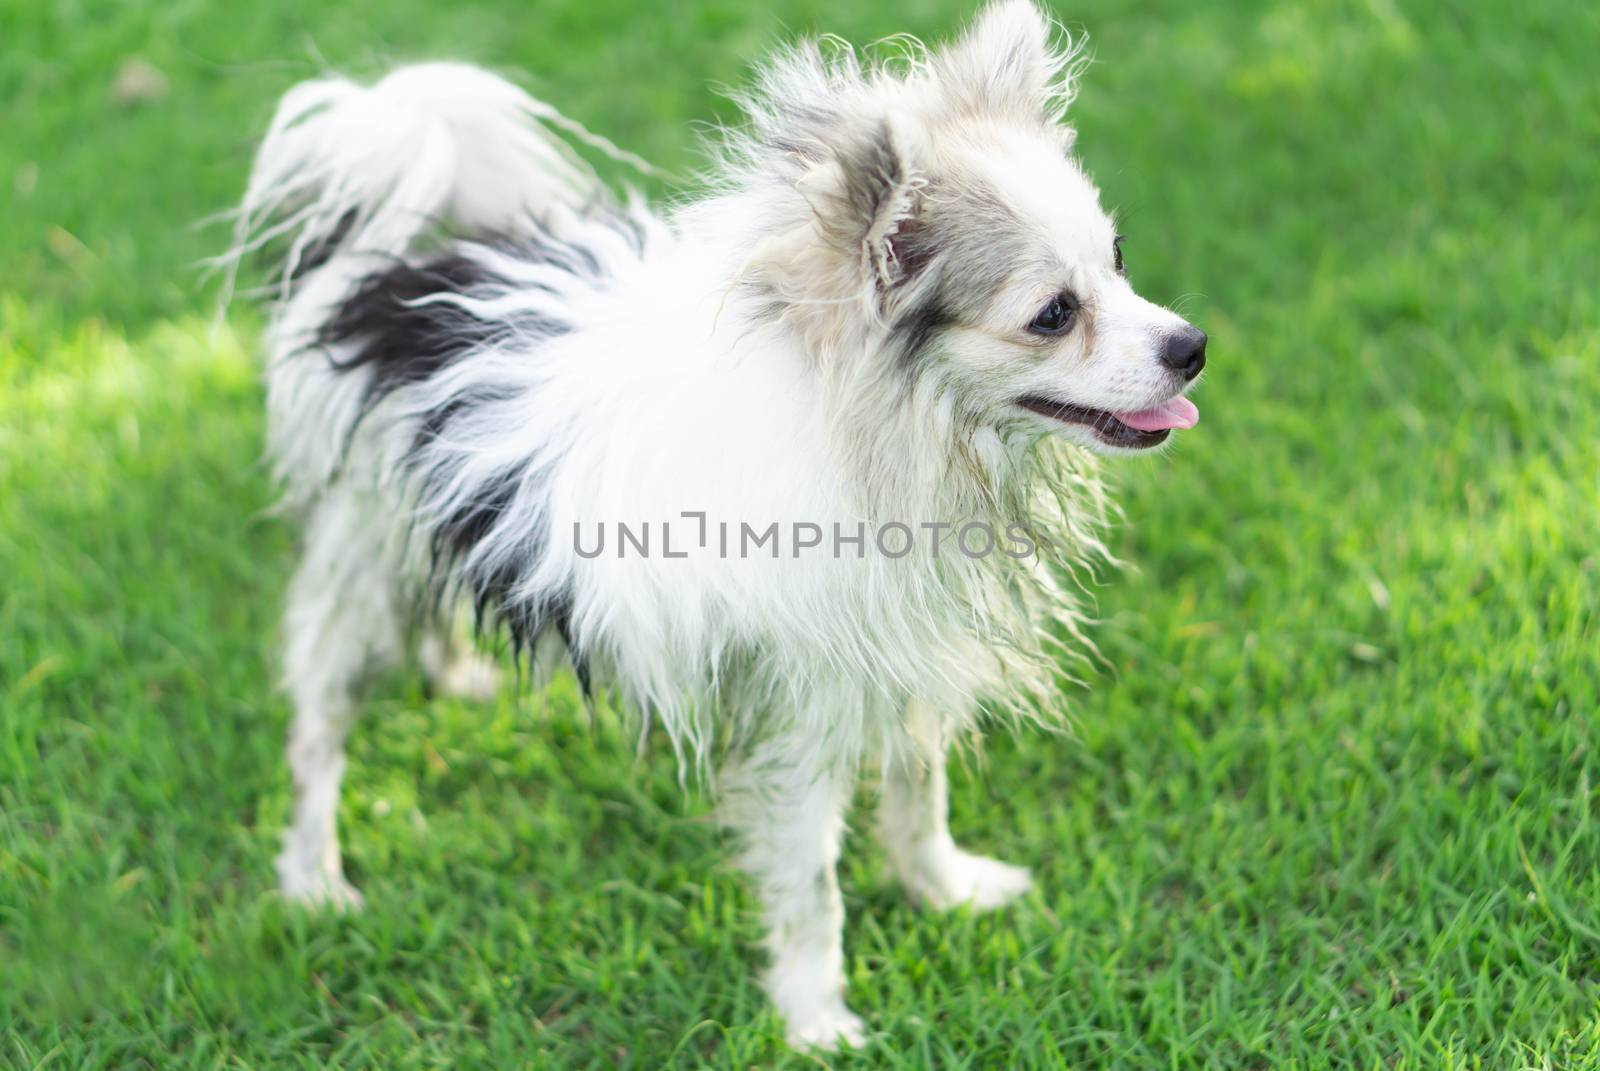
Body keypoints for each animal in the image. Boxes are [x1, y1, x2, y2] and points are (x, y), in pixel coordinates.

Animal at [233, 2, 1203, 1043]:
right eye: (1054, 314)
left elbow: (918, 791)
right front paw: (817, 1020)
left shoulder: (904, 654)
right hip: (358, 565)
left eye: (1119, 263)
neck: (903, 437)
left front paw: (943, 891)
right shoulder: (808, 707)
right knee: (320, 729)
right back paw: (313, 874)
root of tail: (394, 277)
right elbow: (813, 884)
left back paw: (454, 675)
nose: (1192, 346)